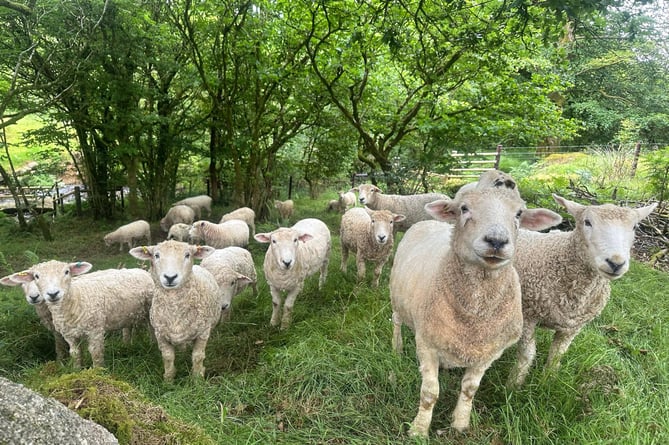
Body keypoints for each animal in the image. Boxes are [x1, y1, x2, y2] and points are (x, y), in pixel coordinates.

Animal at [10, 262, 154, 370]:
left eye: (67, 272)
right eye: (36, 276)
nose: (53, 294)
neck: (76, 298)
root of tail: (139, 270)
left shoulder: (95, 331)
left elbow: (95, 353)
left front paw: (98, 373)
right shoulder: (69, 335)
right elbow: (75, 354)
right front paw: (77, 370)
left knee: (151, 330)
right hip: (126, 314)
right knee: (127, 329)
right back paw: (127, 346)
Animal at [129, 239, 226, 382]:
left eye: (187, 255)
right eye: (156, 255)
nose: (170, 277)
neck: (175, 308)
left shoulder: (203, 332)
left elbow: (198, 356)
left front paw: (197, 378)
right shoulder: (160, 334)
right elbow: (168, 357)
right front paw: (169, 379)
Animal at [388, 186, 560, 434]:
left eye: (519, 214)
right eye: (464, 208)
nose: (497, 241)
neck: (475, 315)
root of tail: (429, 221)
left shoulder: (488, 352)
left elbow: (470, 389)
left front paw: (460, 423)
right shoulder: (426, 344)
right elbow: (430, 392)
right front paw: (419, 429)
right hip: (395, 296)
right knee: (396, 321)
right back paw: (397, 347)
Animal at [506, 193, 656, 386]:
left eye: (635, 227)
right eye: (587, 222)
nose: (616, 263)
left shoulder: (573, 327)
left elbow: (556, 355)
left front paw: (549, 380)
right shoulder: (527, 316)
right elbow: (527, 354)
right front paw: (514, 384)